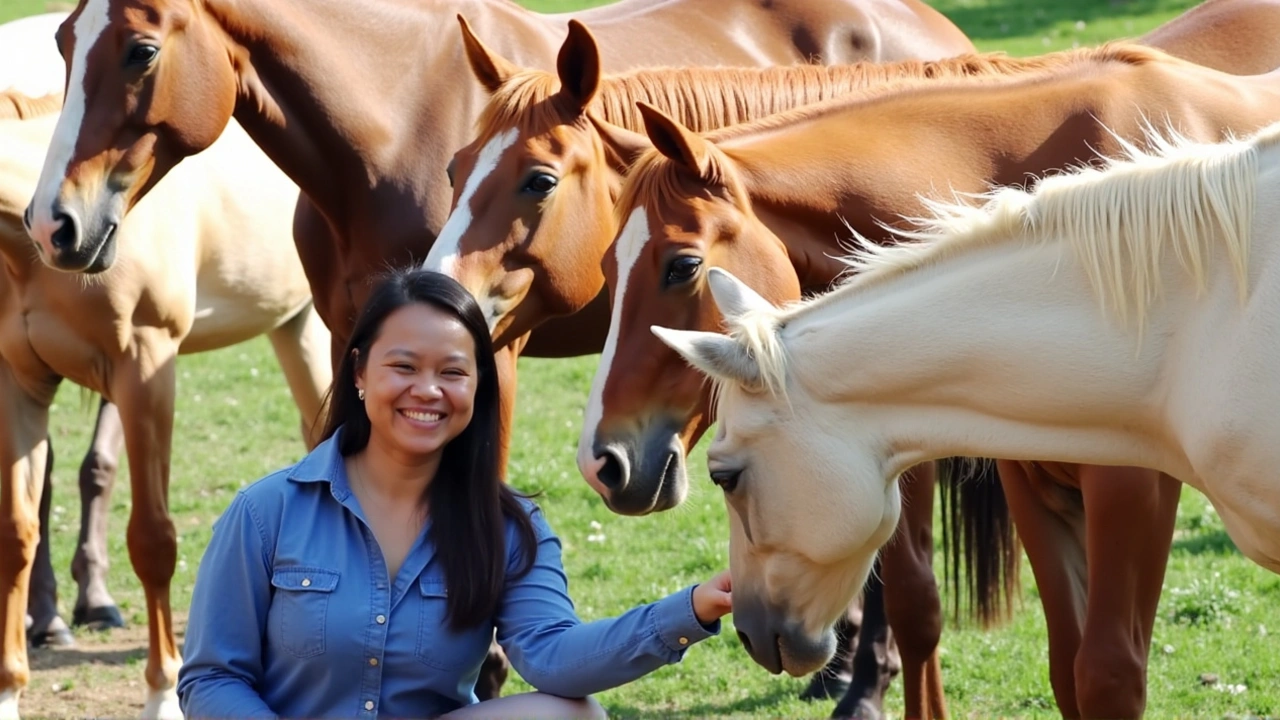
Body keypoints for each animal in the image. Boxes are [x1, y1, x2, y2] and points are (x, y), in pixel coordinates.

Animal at [0, 102, 330, 717]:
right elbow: (18, 534)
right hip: (297, 330)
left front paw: (161, 694)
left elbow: (152, 539)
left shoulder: (144, 369)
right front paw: (10, 689)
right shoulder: (21, 386)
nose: (61, 233)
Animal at [599, 46, 1280, 717]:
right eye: (608, 266)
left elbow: (1107, 676)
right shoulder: (1033, 488)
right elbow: (1055, 666)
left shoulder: (1133, 495)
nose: (605, 461)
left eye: (682, 266)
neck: (1191, 306)